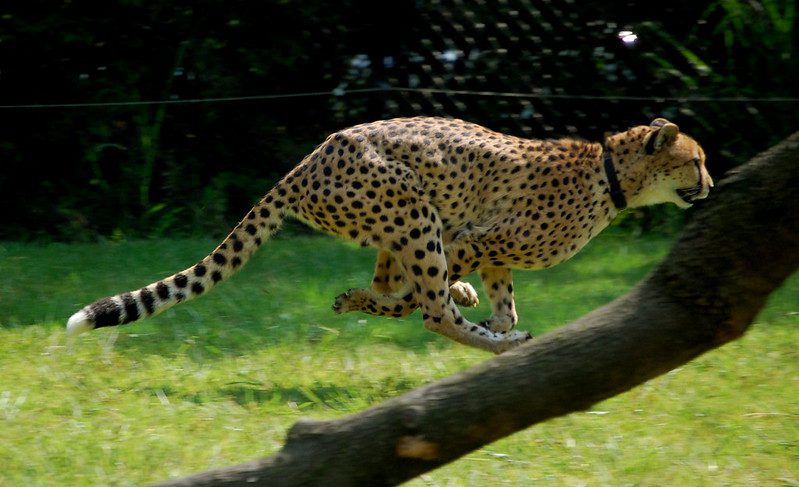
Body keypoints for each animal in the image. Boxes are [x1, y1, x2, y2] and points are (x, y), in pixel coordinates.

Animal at [69, 118, 716, 354]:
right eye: (696, 160)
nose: (712, 184)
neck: (611, 174)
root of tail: (310, 159)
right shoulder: (474, 238)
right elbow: (426, 300)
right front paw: (488, 325)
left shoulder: (493, 250)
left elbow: (499, 301)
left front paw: (489, 311)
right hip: (413, 209)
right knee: (428, 309)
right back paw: (486, 337)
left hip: (399, 221)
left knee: (391, 284)